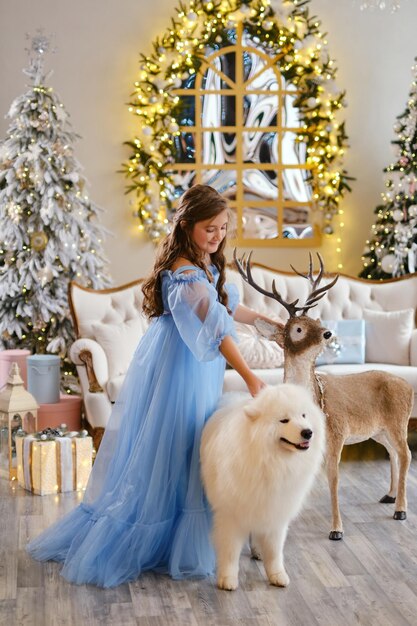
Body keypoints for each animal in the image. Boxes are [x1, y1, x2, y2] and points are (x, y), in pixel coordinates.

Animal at [201, 380, 324, 588]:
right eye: (284, 420)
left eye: (303, 415)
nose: (308, 432)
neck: (272, 461)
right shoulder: (231, 513)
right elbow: (230, 549)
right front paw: (227, 578)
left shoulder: (275, 509)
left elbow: (274, 550)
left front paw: (277, 574)